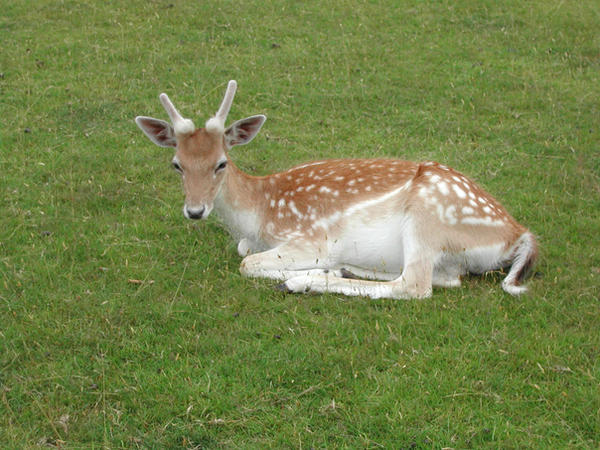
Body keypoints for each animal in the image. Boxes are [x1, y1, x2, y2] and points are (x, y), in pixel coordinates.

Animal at [136, 80, 540, 298]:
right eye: (177, 164)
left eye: (221, 162)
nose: (194, 210)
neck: (258, 216)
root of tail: (519, 235)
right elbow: (243, 252)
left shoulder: (310, 238)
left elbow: (247, 264)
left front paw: (308, 273)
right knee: (446, 279)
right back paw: (341, 269)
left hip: (428, 218)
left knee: (414, 285)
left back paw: (304, 281)